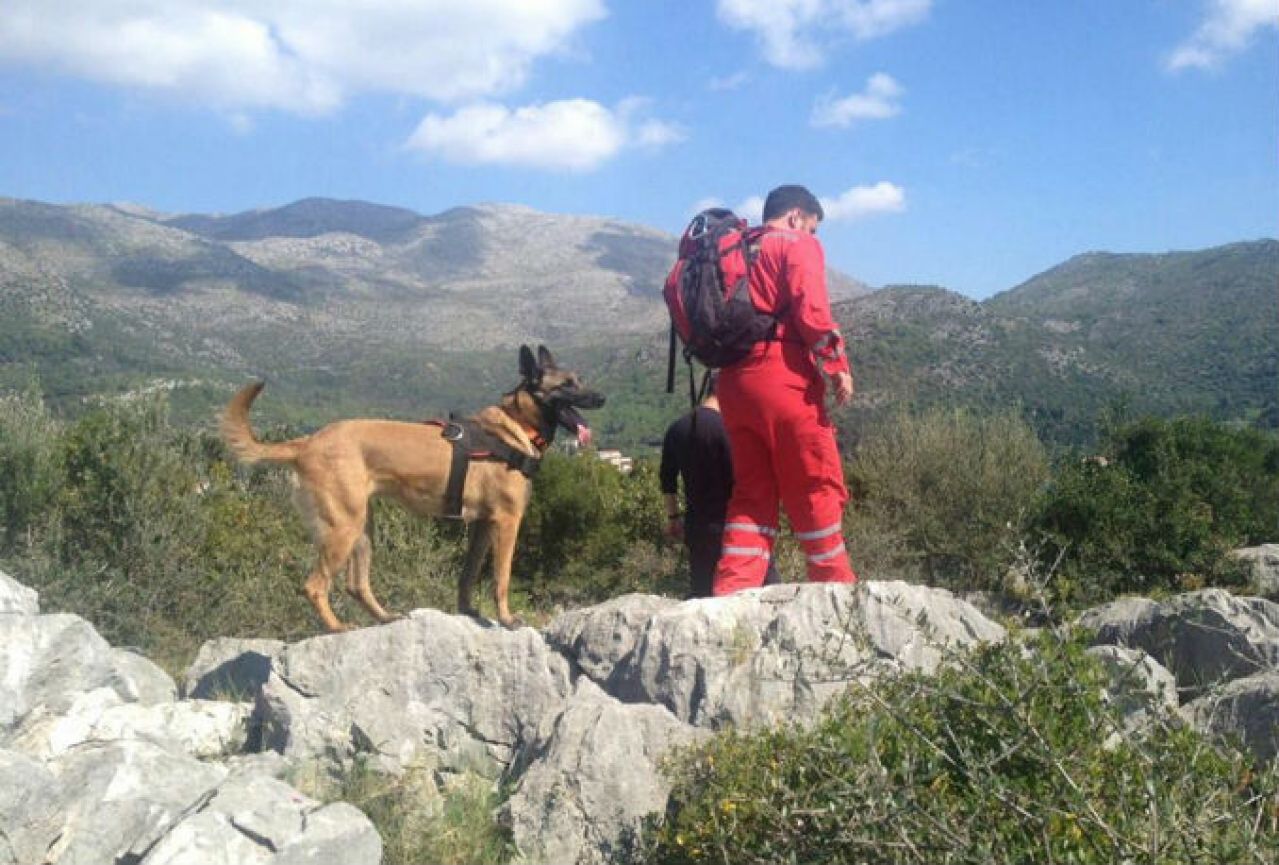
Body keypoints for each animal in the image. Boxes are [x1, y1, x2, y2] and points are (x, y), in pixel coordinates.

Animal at [219, 345, 603, 634]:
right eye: (568, 384)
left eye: (580, 380)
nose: (601, 397)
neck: (515, 426)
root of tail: (306, 443)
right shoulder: (507, 522)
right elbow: (502, 578)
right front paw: (507, 619)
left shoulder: (482, 526)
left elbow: (467, 576)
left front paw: (467, 612)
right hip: (343, 527)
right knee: (314, 586)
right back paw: (337, 627)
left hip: (362, 528)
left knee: (356, 584)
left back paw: (385, 617)